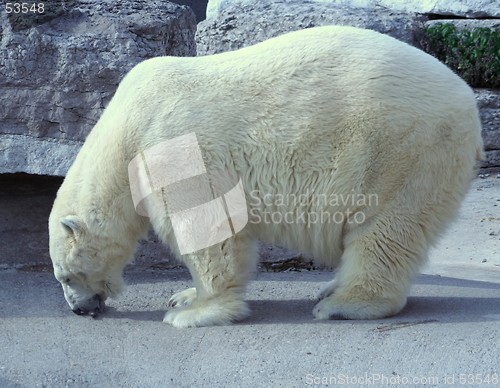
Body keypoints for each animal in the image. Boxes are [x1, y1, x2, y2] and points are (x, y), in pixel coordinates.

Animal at [48, 25, 482, 328]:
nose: (79, 310)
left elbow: (204, 225)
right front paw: (182, 297)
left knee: (383, 230)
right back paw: (331, 288)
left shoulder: (172, 146)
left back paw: (343, 304)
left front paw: (194, 312)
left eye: (67, 276)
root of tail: (470, 106)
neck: (126, 130)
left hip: (400, 149)